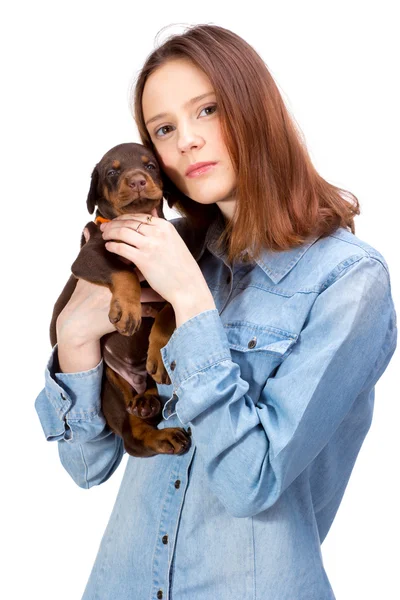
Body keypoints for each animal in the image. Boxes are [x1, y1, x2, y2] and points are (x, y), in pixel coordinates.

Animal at [50, 143, 192, 458]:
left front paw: (160, 353)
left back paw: (149, 401)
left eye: (150, 165)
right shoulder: (88, 255)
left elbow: (169, 311)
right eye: (112, 172)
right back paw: (163, 436)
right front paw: (128, 311)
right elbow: (123, 271)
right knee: (131, 436)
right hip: (106, 385)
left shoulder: (172, 269)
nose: (138, 180)